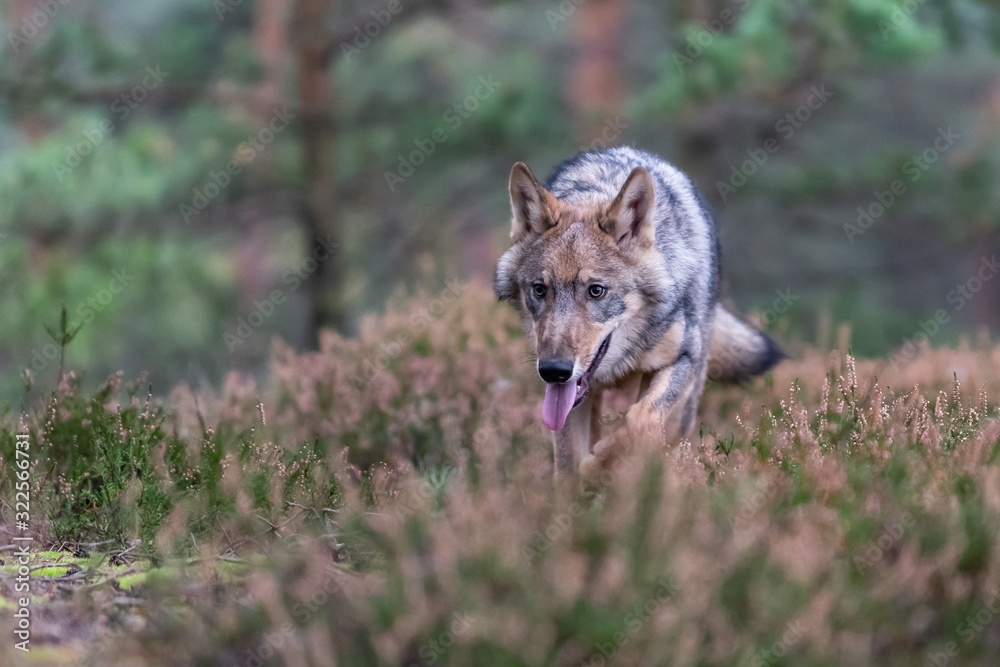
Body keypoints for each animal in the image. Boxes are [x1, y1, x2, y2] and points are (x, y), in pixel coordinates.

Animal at [493, 146, 782, 477]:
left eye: (596, 291)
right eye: (540, 289)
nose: (554, 370)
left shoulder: (683, 358)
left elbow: (639, 421)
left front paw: (597, 466)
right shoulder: (564, 399)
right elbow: (568, 468)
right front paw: (587, 473)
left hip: (684, 407)